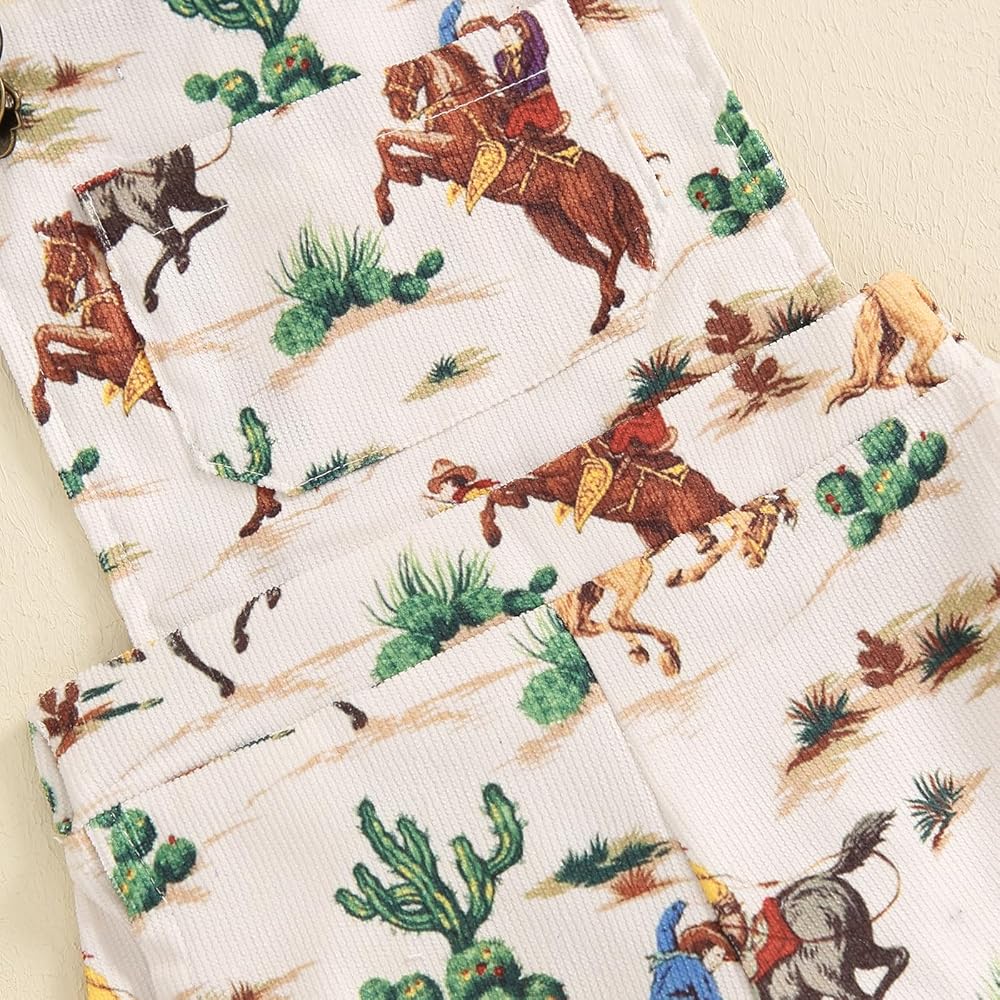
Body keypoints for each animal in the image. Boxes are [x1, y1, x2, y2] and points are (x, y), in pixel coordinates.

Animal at [31, 213, 167, 426]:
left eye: (61, 253)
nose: (56, 302)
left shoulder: (110, 341)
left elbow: (45, 332)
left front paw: (55, 375)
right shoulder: (101, 366)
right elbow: (60, 355)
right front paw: (55, 384)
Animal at [376, 45, 656, 334]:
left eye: (401, 70)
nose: (398, 108)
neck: (461, 103)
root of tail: (607, 172)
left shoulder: (450, 148)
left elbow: (386, 136)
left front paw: (401, 178)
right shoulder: (445, 167)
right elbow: (392, 151)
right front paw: (396, 192)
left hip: (586, 213)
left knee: (618, 243)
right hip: (556, 228)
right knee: (598, 259)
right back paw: (607, 307)